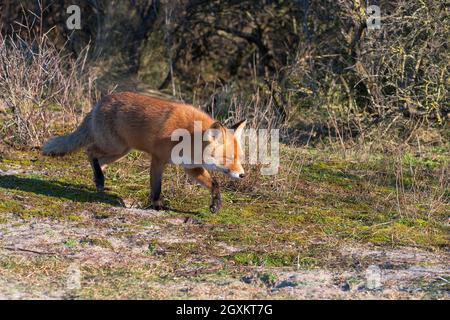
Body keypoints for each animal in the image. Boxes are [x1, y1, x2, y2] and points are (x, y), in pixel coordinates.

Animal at [42, 92, 246, 212]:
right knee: (90, 151)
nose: (242, 175)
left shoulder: (191, 167)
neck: (189, 138)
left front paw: (216, 204)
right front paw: (157, 206)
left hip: (121, 151)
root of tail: (101, 101)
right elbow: (156, 188)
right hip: (115, 147)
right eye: (228, 158)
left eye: (240, 158)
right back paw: (99, 180)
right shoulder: (158, 159)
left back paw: (98, 182)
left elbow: (215, 184)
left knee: (97, 160)